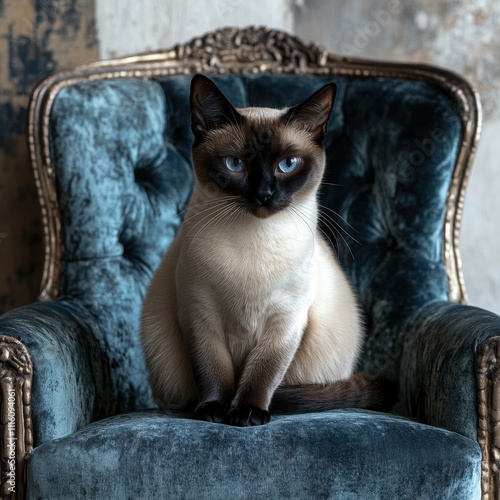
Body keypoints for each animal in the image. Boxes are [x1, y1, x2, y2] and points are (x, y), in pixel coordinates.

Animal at [141, 74, 390, 426]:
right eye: (235, 164)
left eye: (288, 164)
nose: (264, 193)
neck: (254, 239)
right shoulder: (200, 314)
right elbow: (212, 369)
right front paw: (214, 410)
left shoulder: (286, 321)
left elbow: (262, 372)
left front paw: (247, 412)